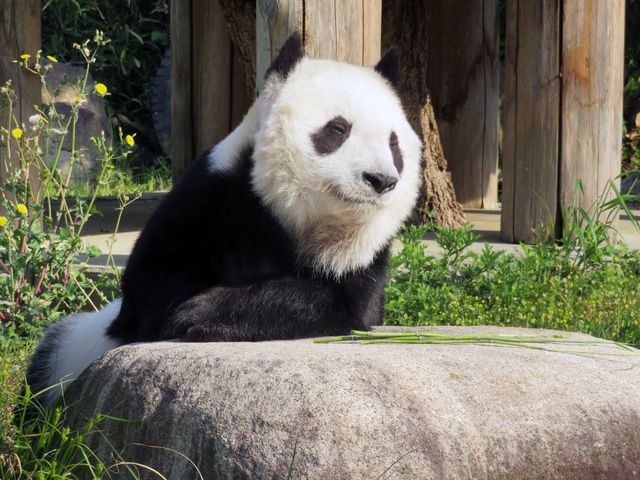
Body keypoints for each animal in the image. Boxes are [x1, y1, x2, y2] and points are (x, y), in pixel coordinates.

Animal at [26, 32, 424, 408]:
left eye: (394, 144)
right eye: (338, 129)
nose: (381, 180)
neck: (295, 217)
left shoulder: (367, 254)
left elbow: (343, 305)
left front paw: (202, 313)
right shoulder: (210, 192)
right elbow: (150, 286)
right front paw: (186, 311)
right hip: (63, 353)